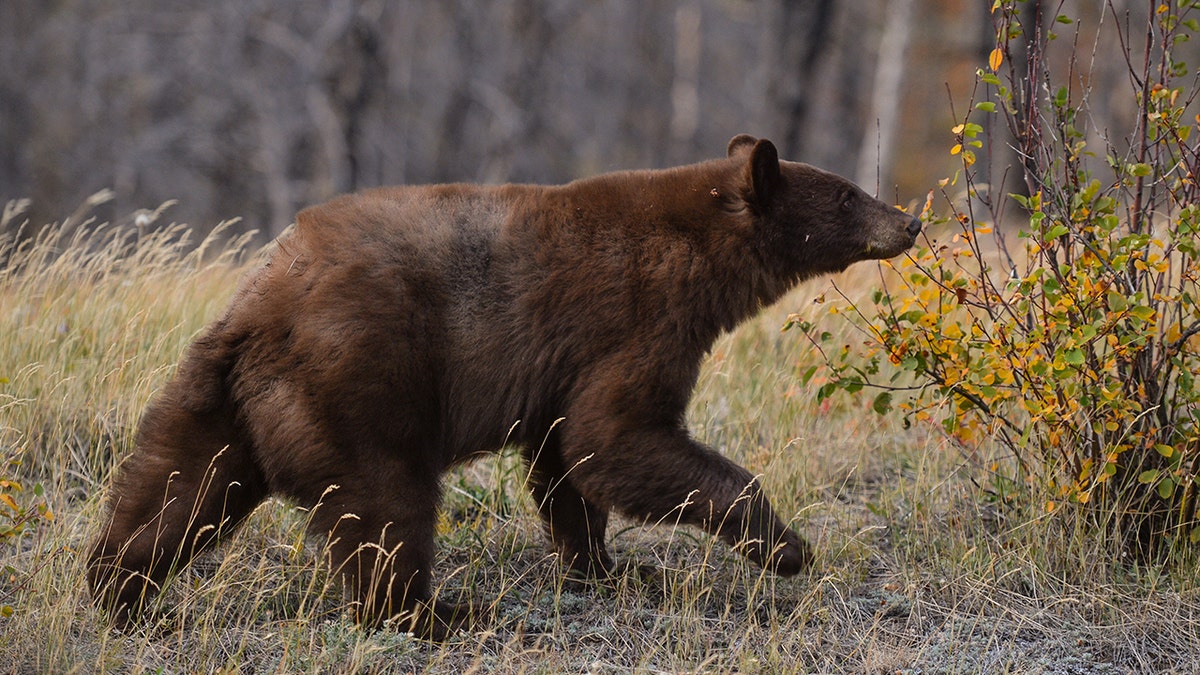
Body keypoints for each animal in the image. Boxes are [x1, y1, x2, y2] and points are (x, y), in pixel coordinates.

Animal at [87, 131, 916, 634]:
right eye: (847, 194)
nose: (907, 222)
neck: (700, 247)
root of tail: (264, 309)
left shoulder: (559, 372)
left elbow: (566, 466)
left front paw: (608, 569)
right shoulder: (633, 317)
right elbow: (615, 436)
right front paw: (786, 547)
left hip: (216, 394)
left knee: (175, 487)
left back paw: (117, 587)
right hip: (359, 385)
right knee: (386, 506)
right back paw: (436, 613)